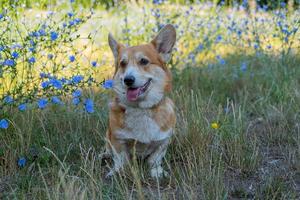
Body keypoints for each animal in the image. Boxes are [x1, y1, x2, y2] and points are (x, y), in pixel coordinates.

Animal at [105, 24, 176, 178]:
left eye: (143, 61)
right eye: (122, 63)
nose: (128, 80)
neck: (141, 108)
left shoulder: (164, 140)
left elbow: (155, 158)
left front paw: (156, 172)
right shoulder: (117, 139)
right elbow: (120, 159)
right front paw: (117, 172)